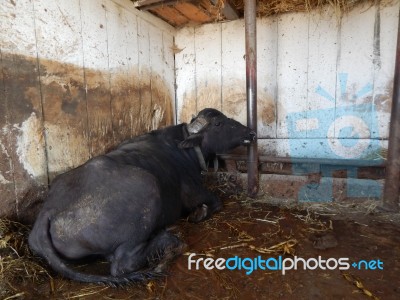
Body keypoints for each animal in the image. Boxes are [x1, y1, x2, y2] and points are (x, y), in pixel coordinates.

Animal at [28, 108, 255, 284]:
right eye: (218, 123)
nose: (250, 132)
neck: (185, 150)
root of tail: (48, 211)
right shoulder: (194, 193)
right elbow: (216, 201)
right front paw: (200, 214)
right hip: (148, 186)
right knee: (122, 264)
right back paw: (168, 239)